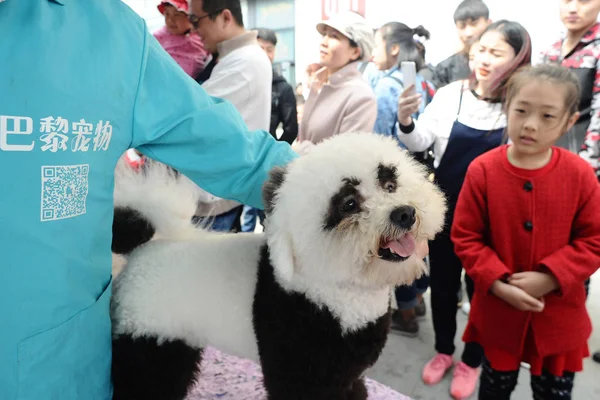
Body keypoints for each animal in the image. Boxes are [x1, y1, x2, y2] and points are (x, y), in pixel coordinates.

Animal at [109, 133, 446, 398]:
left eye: (389, 183)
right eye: (348, 204)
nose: (404, 214)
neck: (337, 292)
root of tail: (140, 253)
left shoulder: (348, 374)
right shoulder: (298, 366)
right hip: (149, 334)